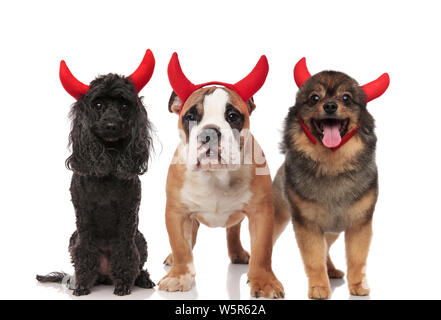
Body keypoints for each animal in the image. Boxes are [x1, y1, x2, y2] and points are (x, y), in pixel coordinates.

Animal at [157, 53, 282, 298]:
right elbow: (180, 245)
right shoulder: (177, 213)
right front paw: (179, 275)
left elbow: (263, 250)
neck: (214, 175)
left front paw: (264, 281)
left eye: (232, 116)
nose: (209, 132)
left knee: (233, 231)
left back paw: (239, 254)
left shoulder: (261, 212)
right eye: (190, 116)